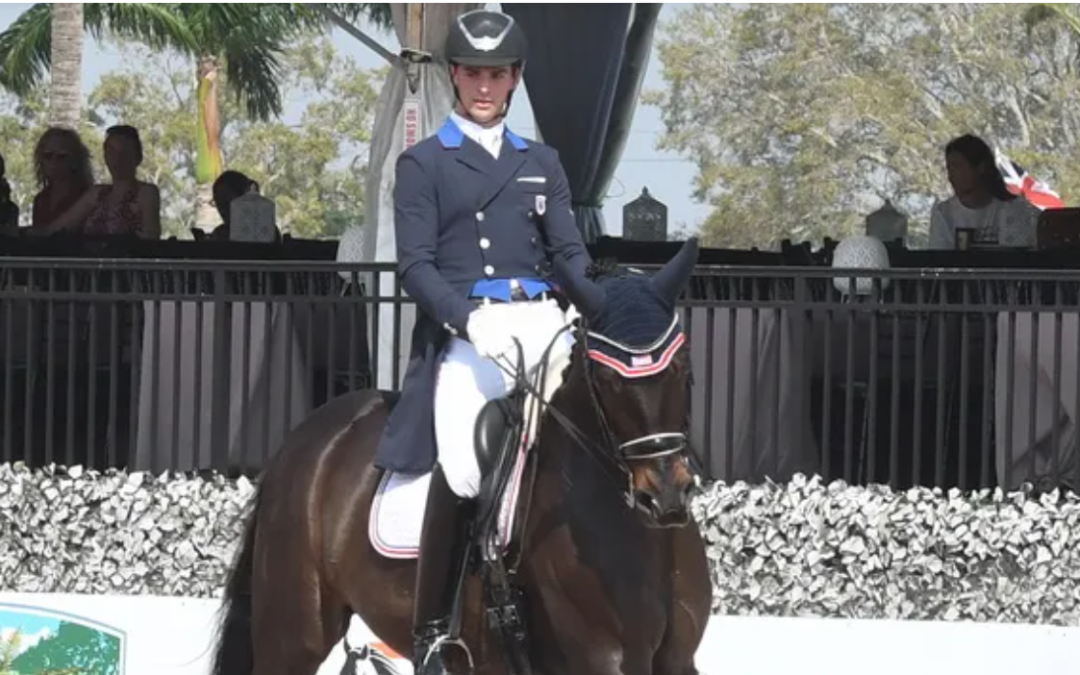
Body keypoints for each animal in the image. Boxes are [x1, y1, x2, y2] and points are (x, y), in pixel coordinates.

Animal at [210, 238, 717, 673]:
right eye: (607, 379)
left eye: (683, 366)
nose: (665, 497)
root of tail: (306, 438)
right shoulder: (603, 660)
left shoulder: (678, 662)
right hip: (294, 635)